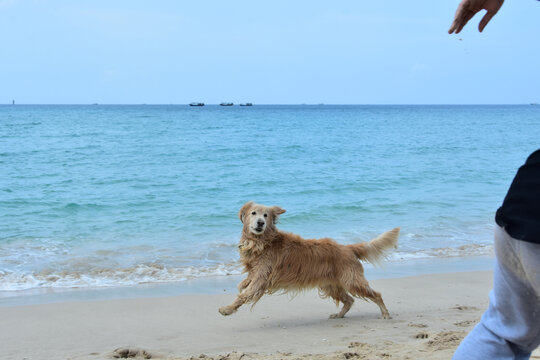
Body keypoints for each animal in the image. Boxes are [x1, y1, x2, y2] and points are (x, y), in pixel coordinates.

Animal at [217, 201, 398, 320]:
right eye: (254, 213)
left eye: (266, 215)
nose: (260, 223)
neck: (263, 241)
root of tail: (348, 248)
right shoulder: (257, 271)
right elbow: (246, 282)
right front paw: (242, 285)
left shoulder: (262, 277)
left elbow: (244, 294)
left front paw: (227, 309)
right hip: (330, 285)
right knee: (349, 300)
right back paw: (339, 314)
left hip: (351, 281)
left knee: (376, 294)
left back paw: (385, 313)